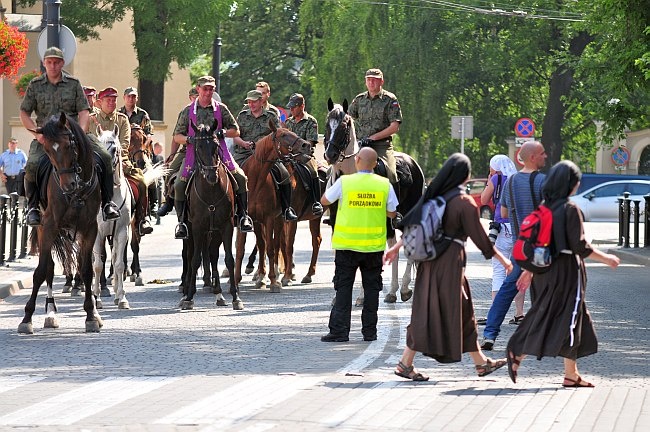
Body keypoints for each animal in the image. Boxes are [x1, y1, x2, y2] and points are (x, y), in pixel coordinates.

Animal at [18, 113, 102, 332]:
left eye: (69, 145)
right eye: (47, 150)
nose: (68, 185)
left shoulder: (90, 228)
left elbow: (87, 270)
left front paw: (91, 315)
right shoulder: (49, 226)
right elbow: (40, 272)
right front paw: (27, 318)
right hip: (43, 228)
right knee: (48, 268)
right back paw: (50, 313)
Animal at [178, 120, 242, 310]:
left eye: (216, 146)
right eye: (198, 147)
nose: (212, 175)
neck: (211, 190)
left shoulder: (226, 226)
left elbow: (229, 259)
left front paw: (235, 297)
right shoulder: (198, 228)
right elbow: (195, 260)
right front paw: (189, 297)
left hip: (214, 232)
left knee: (212, 254)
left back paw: (219, 293)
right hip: (192, 232)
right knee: (190, 255)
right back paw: (185, 292)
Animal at [234, 121, 312, 292]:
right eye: (283, 135)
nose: (306, 145)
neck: (255, 180)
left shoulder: (269, 218)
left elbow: (270, 248)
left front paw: (273, 281)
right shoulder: (248, 220)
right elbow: (242, 249)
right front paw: (236, 280)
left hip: (279, 219)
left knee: (276, 246)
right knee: (264, 245)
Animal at [324, 98, 426, 304]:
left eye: (344, 126)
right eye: (327, 124)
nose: (330, 155)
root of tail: (413, 162)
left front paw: (362, 297)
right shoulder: (336, 222)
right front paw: (337, 296)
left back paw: (404, 289)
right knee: (393, 245)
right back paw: (392, 291)